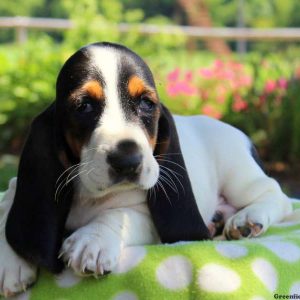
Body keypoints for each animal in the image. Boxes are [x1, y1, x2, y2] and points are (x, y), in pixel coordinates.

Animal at [0, 42, 292, 298]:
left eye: (146, 103)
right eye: (83, 105)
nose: (128, 160)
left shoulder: (150, 219)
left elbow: (121, 214)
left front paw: (93, 239)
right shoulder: (15, 189)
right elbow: (7, 210)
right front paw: (10, 262)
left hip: (238, 174)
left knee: (277, 194)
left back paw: (246, 219)